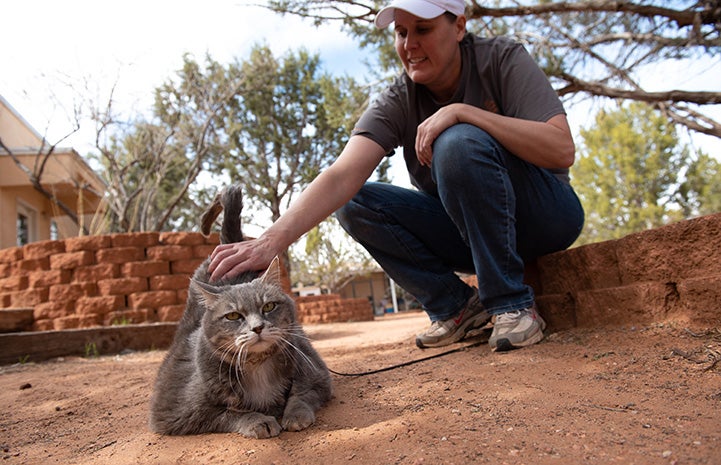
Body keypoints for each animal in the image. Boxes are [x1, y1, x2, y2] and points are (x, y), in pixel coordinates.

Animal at [151, 185, 334, 436]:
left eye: (269, 306)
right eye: (233, 316)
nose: (257, 328)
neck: (258, 367)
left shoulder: (317, 375)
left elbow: (301, 394)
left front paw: (296, 414)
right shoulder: (175, 411)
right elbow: (228, 413)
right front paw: (258, 421)